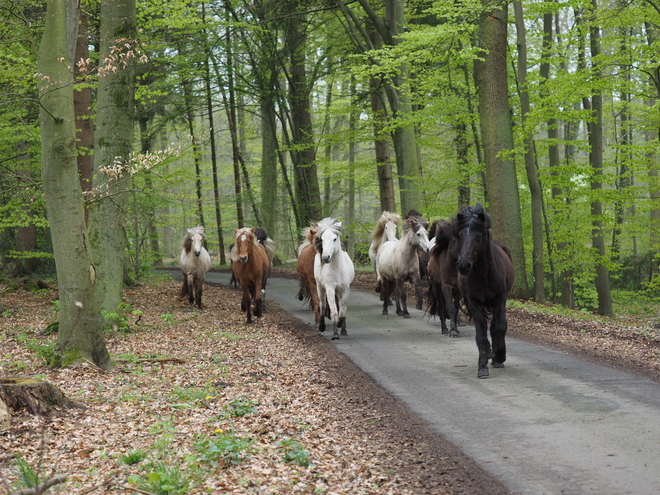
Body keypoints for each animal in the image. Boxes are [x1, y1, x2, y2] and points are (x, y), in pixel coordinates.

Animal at [454, 205, 516, 380]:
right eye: (460, 235)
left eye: (478, 236)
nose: (463, 265)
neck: (485, 274)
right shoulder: (475, 303)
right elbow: (480, 334)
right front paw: (482, 367)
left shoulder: (500, 299)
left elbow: (499, 326)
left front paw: (500, 356)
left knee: (496, 326)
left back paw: (496, 357)